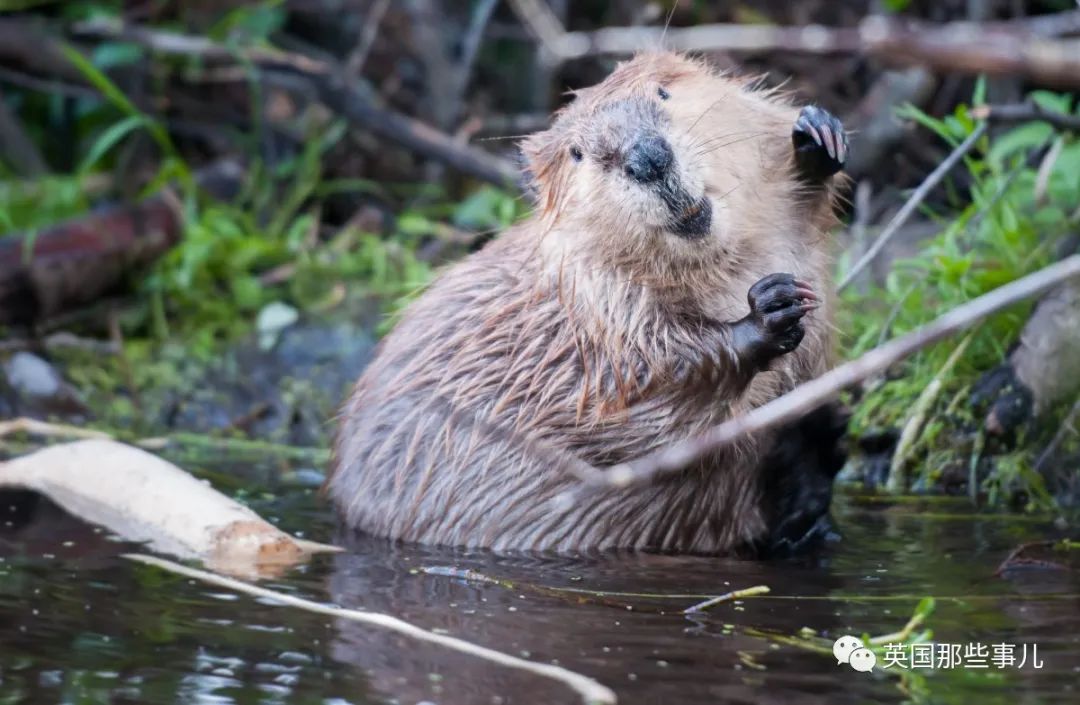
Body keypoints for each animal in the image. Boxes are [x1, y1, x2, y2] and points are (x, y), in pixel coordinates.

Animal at [324, 50, 846, 557]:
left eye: (663, 91)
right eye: (577, 153)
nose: (648, 158)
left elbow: (802, 211)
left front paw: (816, 137)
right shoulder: (594, 309)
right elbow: (643, 400)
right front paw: (769, 310)